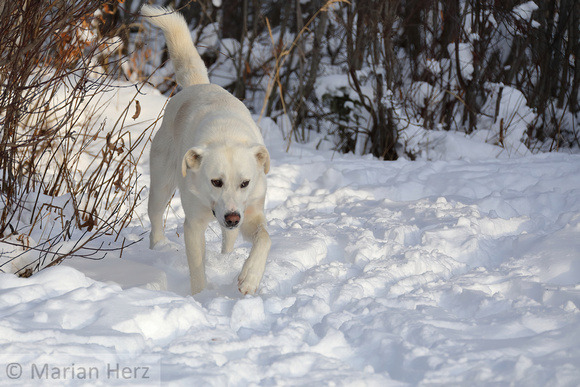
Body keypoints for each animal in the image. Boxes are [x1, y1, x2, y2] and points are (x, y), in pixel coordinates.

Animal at [144, 4, 274, 296]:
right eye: (216, 182)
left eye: (245, 183)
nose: (232, 217)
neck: (226, 135)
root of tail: (197, 85)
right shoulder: (193, 224)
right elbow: (197, 269)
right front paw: (201, 298)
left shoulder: (251, 212)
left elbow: (264, 238)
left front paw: (249, 278)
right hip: (161, 184)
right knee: (155, 216)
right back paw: (158, 246)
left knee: (231, 239)